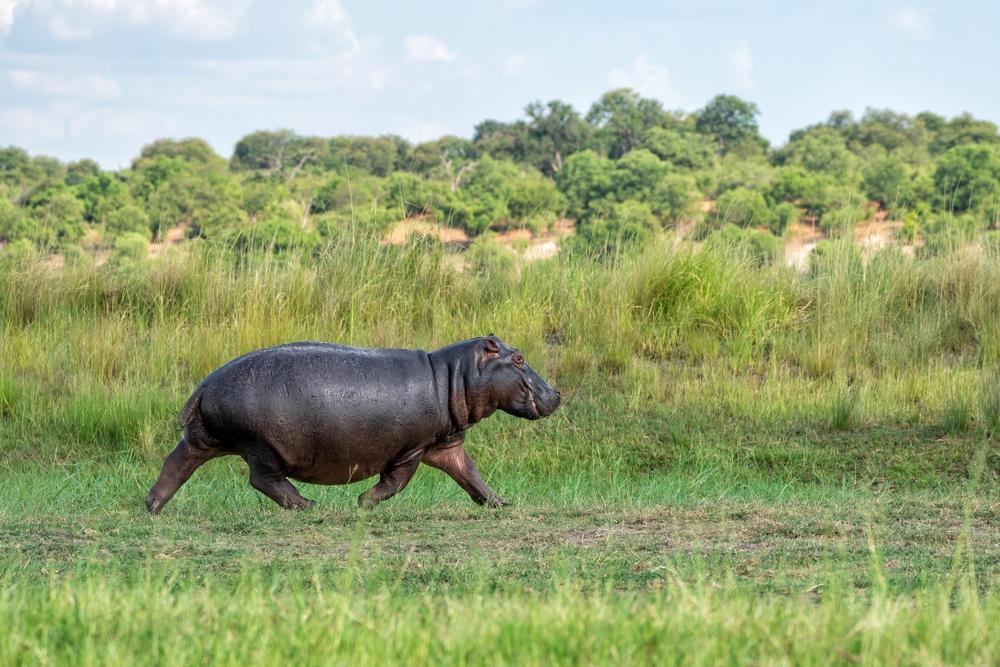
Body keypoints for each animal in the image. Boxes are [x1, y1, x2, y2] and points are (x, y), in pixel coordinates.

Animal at [144, 335, 561, 513]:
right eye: (519, 358)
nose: (556, 392)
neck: (452, 376)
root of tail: (205, 383)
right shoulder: (412, 448)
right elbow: (396, 482)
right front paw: (363, 503)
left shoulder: (447, 444)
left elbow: (470, 474)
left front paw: (500, 503)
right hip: (262, 447)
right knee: (264, 480)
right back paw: (308, 505)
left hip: (204, 438)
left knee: (177, 462)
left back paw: (152, 506)